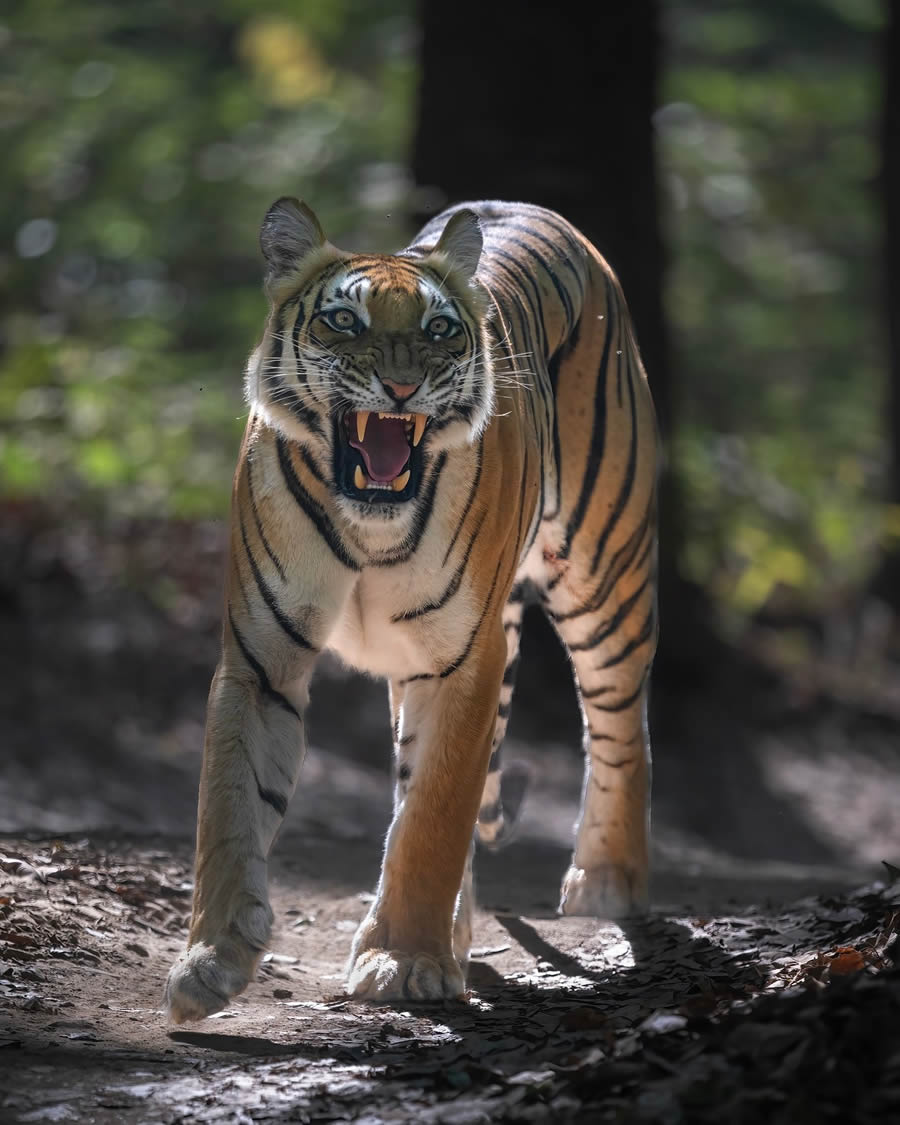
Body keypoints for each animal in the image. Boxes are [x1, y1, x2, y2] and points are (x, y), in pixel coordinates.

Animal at [165, 195, 657, 1021]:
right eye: (345, 321)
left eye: (438, 329)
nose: (400, 390)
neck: (369, 522)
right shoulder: (259, 659)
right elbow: (228, 809)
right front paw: (212, 960)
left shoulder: (467, 660)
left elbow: (432, 816)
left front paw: (405, 959)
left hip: (605, 572)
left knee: (619, 726)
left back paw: (607, 882)